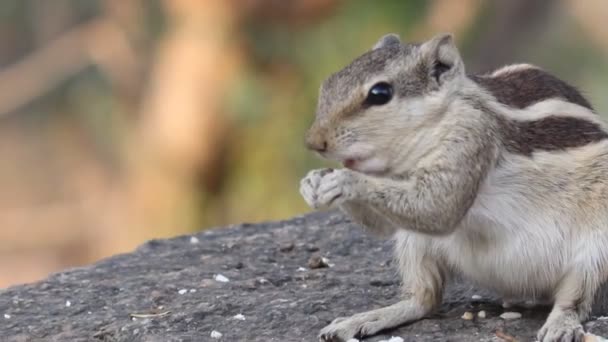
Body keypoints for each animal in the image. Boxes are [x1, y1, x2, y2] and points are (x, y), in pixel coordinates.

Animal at [300, 32, 608, 342]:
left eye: (380, 93)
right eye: (328, 84)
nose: (314, 142)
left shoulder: (471, 136)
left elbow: (439, 208)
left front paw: (343, 180)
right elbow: (384, 225)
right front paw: (311, 182)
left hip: (598, 250)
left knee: (575, 299)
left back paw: (562, 324)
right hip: (414, 244)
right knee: (424, 299)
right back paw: (368, 317)